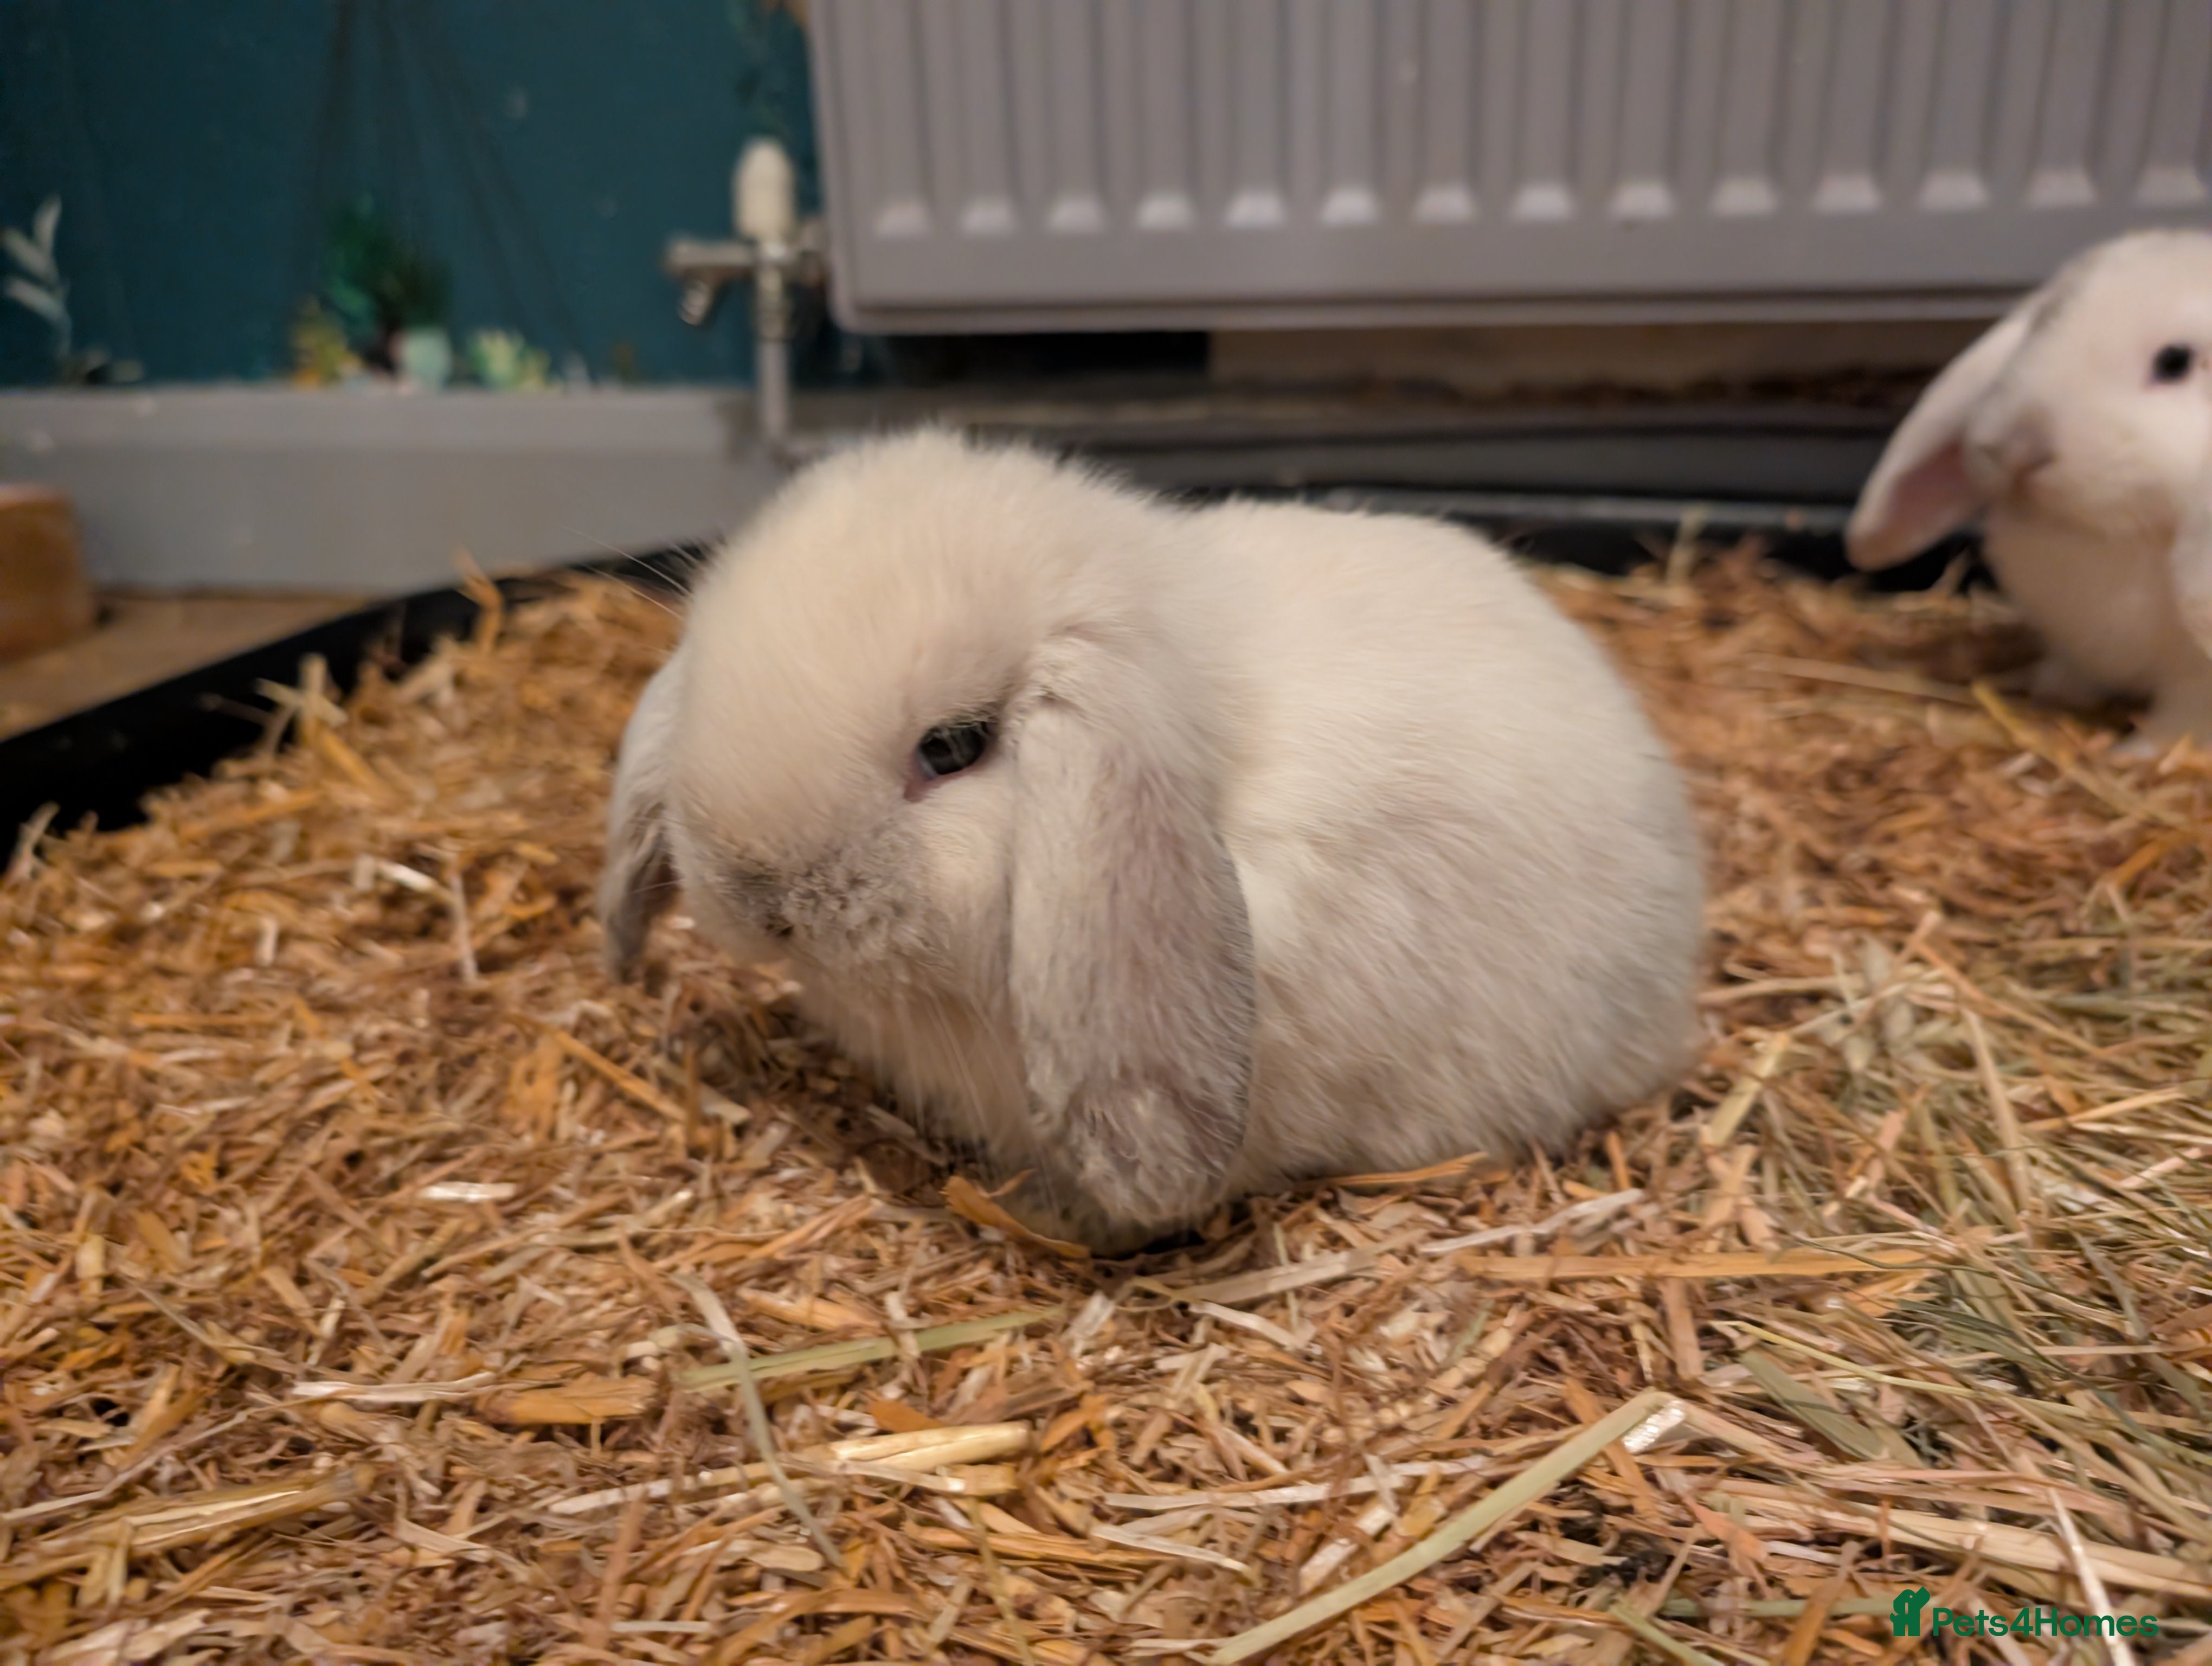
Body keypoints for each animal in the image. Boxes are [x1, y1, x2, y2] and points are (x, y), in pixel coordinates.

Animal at [1845, 228, 2212, 757]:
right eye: (2047, 320)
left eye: (2175, 362)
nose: (2016, 450)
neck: (2105, 536)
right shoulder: (2074, 645)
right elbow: (2070, 674)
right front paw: (2040, 687)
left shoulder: (2194, 687)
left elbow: (2182, 720)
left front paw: (2136, 755)